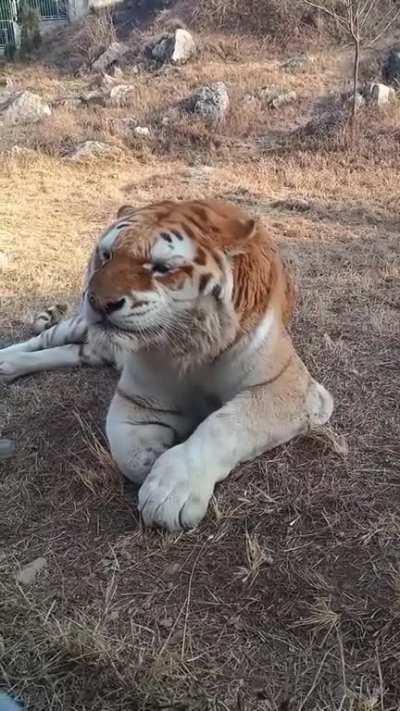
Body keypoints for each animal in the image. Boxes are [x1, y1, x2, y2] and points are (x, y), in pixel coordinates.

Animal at [0, 199, 334, 531]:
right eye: (107, 255)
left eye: (161, 268)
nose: (98, 301)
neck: (192, 347)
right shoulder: (139, 399)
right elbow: (128, 453)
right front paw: (155, 462)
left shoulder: (286, 388)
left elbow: (224, 424)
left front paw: (171, 489)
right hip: (80, 324)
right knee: (44, 339)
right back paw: (7, 361)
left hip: (93, 348)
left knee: (72, 351)